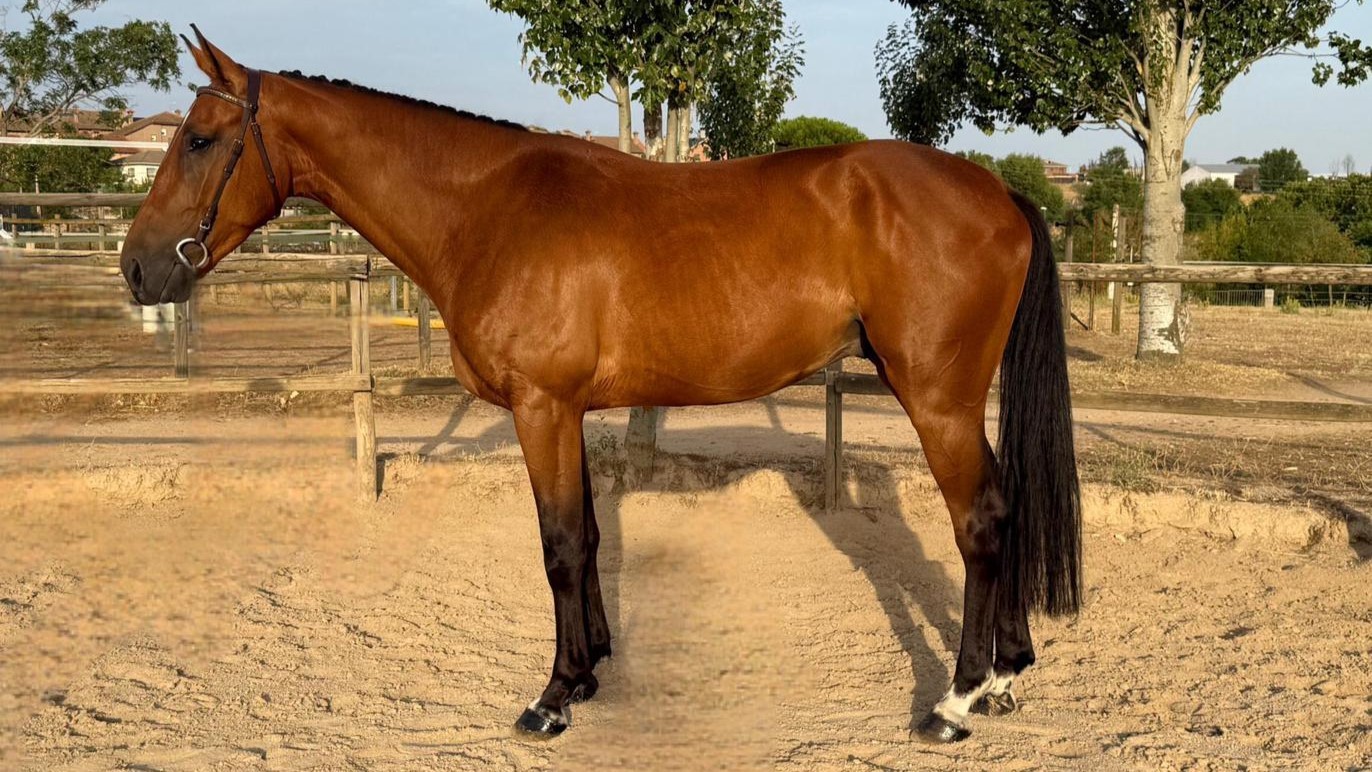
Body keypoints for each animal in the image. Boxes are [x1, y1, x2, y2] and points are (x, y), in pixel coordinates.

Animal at [120, 28, 1081, 744]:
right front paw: (586, 676)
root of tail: (997, 190)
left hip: (937, 400)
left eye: (199, 140)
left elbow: (557, 548)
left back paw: (955, 701)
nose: (136, 269)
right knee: (1006, 505)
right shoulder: (567, 412)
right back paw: (1006, 675)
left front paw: (550, 699)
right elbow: (582, 536)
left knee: (981, 522)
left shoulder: (541, 409)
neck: (486, 209)